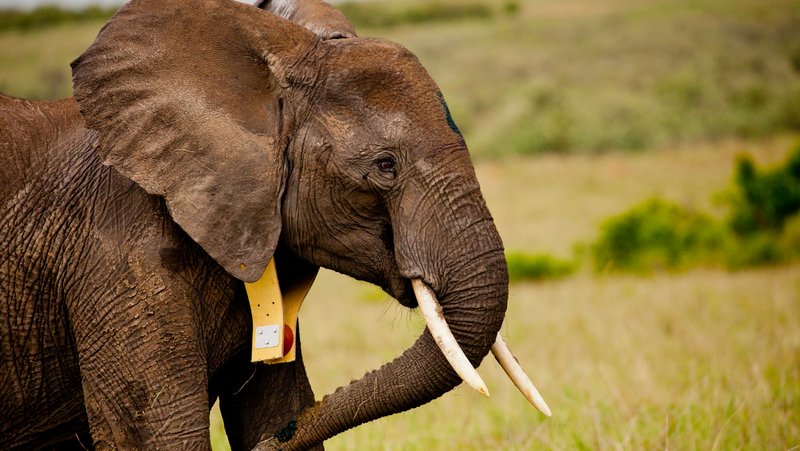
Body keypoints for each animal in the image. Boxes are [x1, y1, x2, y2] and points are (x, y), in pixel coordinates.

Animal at [0, 0, 548, 449]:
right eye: (386, 165)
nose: (283, 438)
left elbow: (274, 405)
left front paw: (272, 427)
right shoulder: (117, 258)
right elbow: (160, 435)